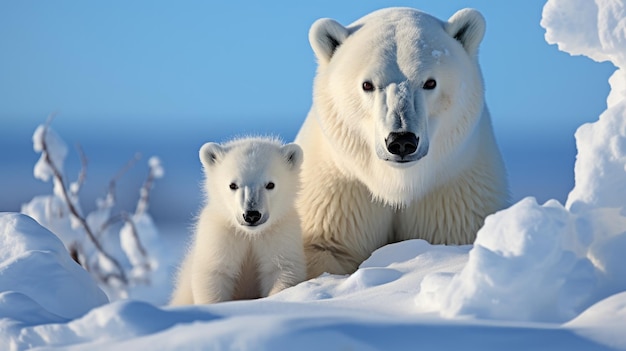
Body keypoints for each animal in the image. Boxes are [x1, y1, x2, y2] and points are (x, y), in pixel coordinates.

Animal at [294, 6, 508, 280]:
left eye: (430, 82)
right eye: (367, 84)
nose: (402, 141)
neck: (397, 184)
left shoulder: (453, 192)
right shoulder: (338, 193)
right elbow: (325, 249)